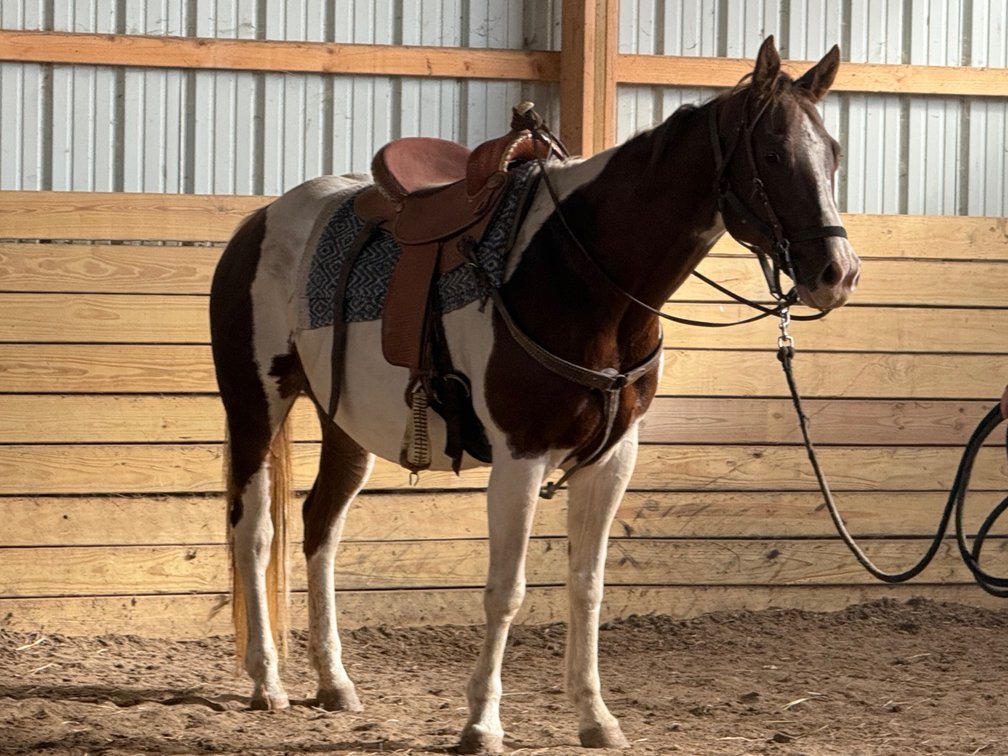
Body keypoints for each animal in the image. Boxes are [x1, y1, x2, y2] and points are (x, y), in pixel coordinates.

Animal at [209, 36, 860, 753]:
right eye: (772, 153)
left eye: (833, 153)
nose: (837, 274)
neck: (584, 277)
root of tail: (259, 221)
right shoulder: (519, 458)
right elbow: (507, 591)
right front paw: (481, 723)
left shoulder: (611, 460)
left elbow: (587, 587)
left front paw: (595, 716)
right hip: (255, 405)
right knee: (254, 532)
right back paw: (267, 681)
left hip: (344, 424)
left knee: (321, 527)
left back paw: (335, 683)